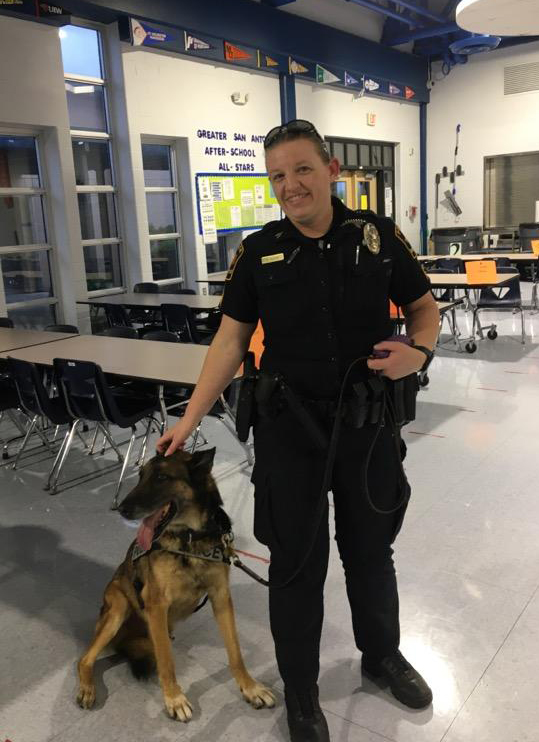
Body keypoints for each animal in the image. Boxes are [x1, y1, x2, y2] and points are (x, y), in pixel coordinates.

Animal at [77, 450, 274, 724]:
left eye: (162, 477)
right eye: (141, 476)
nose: (122, 510)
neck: (189, 538)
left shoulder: (221, 598)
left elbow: (235, 653)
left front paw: (250, 687)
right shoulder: (157, 605)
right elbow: (166, 661)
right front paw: (174, 699)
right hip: (118, 606)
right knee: (85, 659)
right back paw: (87, 688)